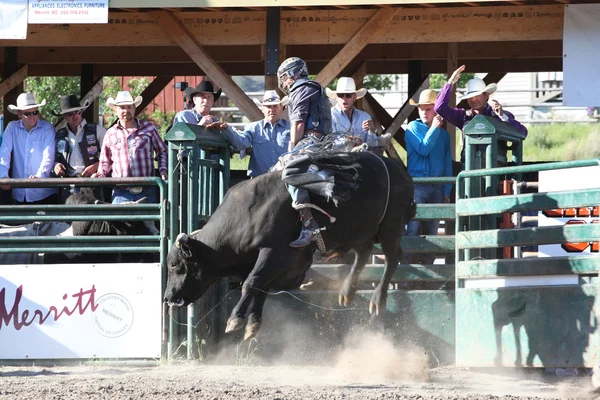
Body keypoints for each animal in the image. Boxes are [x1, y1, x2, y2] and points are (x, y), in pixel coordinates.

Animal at [164, 152, 418, 340]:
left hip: (390, 226)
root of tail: (400, 172)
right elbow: (261, 287)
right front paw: (253, 325)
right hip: (359, 231)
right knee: (363, 254)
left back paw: (377, 300)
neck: (247, 214)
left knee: (393, 257)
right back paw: (347, 292)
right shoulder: (280, 263)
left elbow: (252, 283)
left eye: (175, 264)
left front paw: (235, 320)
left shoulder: (274, 253)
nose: (167, 297)